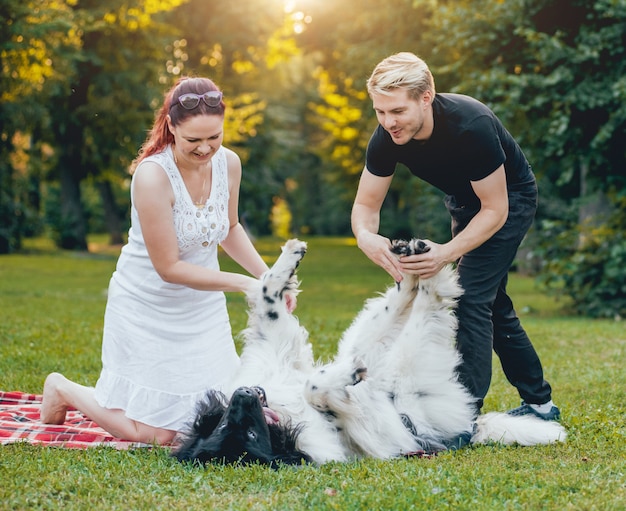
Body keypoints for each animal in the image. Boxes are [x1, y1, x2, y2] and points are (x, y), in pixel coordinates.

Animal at [172, 238, 564, 466]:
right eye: (246, 435)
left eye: (223, 418)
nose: (243, 394)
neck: (283, 416)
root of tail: (468, 427)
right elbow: (317, 389)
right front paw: (344, 379)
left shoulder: (274, 346)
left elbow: (269, 291)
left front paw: (288, 258)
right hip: (411, 359)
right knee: (429, 305)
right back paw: (429, 274)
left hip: (370, 342)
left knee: (396, 304)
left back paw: (412, 258)